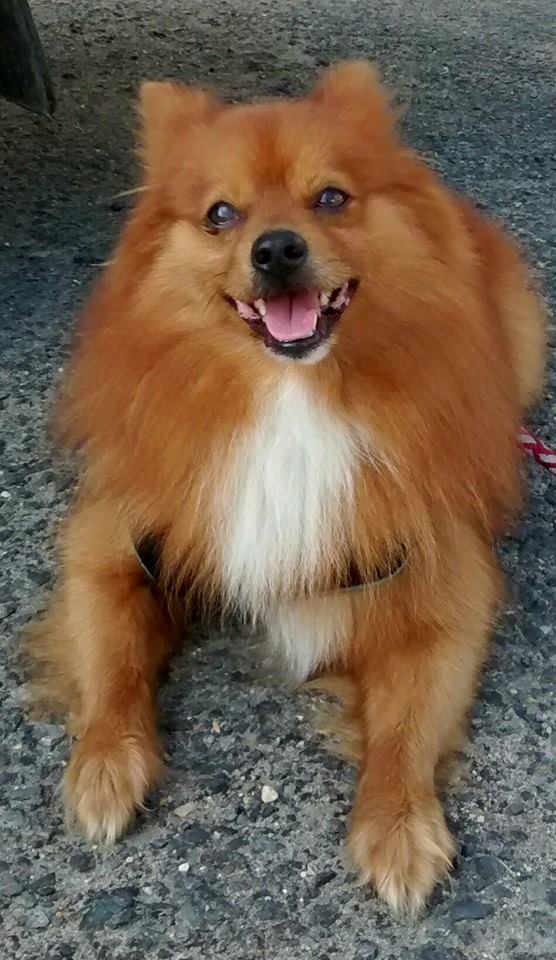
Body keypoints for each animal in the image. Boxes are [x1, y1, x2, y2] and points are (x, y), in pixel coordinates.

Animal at [26, 62, 546, 915]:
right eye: (221, 214)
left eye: (329, 197)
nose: (275, 249)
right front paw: (105, 762)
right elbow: (112, 658)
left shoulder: (444, 584)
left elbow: (408, 726)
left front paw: (399, 825)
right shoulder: (113, 540)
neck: (289, 395)